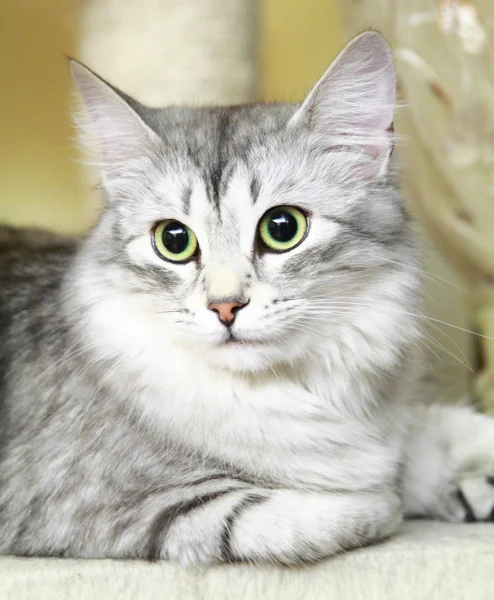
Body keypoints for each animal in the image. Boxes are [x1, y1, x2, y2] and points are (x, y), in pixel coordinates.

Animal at [0, 31, 494, 568]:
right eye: (173, 240)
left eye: (282, 228)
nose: (225, 307)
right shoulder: (114, 507)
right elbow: (330, 510)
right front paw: (389, 494)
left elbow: (434, 432)